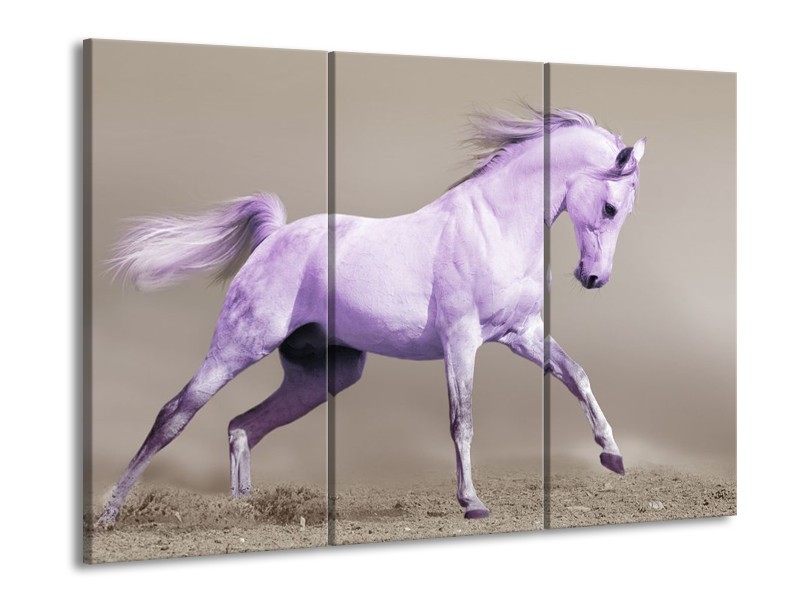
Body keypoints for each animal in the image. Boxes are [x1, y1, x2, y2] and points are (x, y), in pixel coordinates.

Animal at [96, 107, 646, 525]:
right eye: (611, 207)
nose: (593, 277)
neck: (494, 226)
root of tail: (275, 236)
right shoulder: (461, 341)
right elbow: (462, 420)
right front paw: (472, 502)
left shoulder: (522, 334)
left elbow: (577, 376)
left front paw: (613, 455)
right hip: (238, 345)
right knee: (174, 415)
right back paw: (109, 513)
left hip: (323, 376)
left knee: (243, 425)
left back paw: (245, 509)